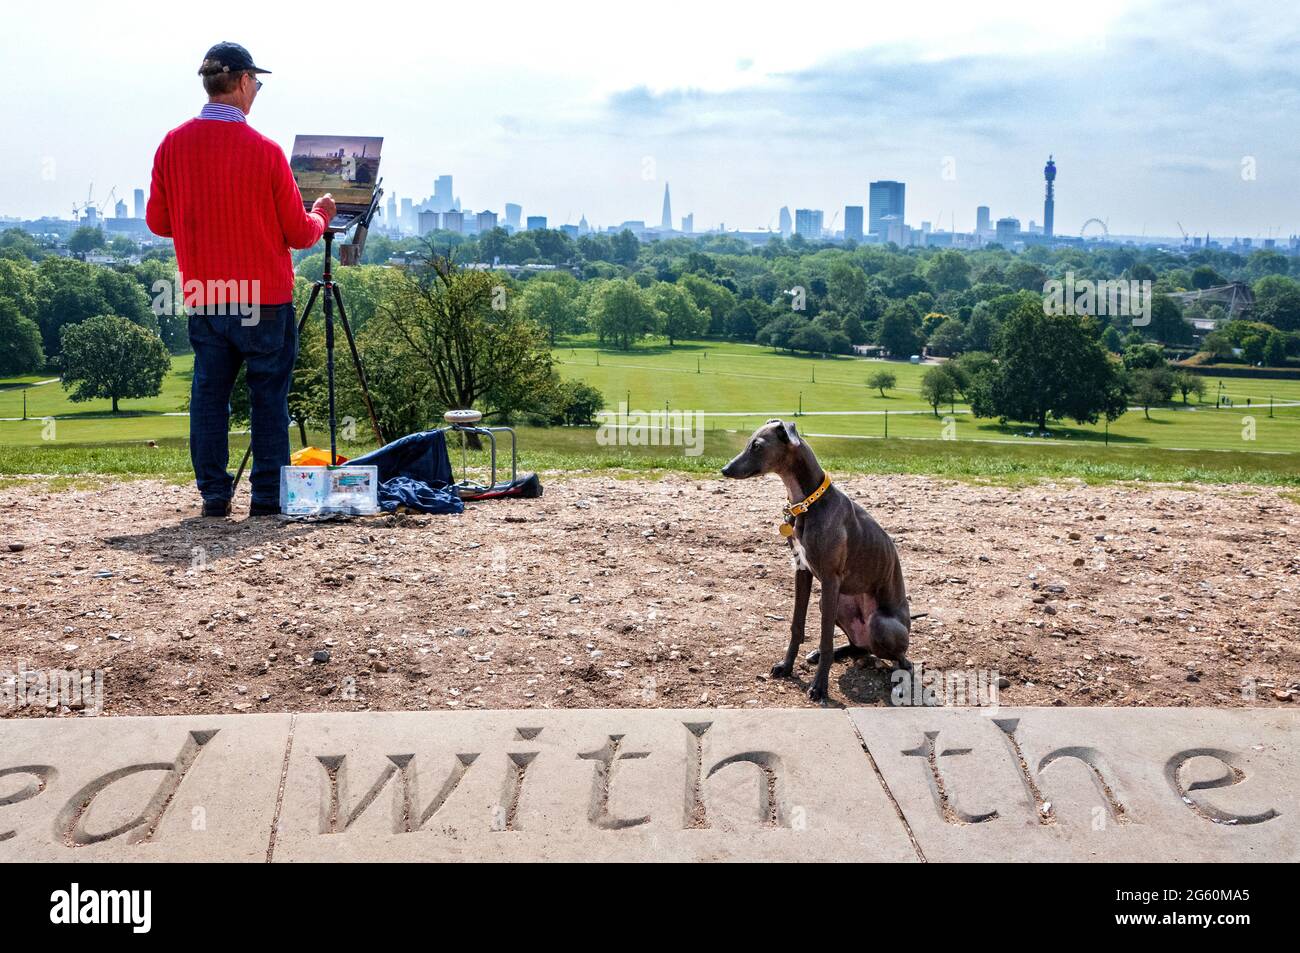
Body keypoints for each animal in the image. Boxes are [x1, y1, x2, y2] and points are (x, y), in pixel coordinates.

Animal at [722, 421, 915, 702]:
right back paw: (829, 654)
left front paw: (819, 686)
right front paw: (786, 666)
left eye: (757, 446)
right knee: (859, 647)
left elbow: (825, 637)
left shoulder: (830, 579)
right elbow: (796, 626)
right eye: (749, 442)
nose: (724, 469)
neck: (807, 503)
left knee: (903, 661)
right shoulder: (802, 570)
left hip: (879, 622)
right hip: (834, 605)